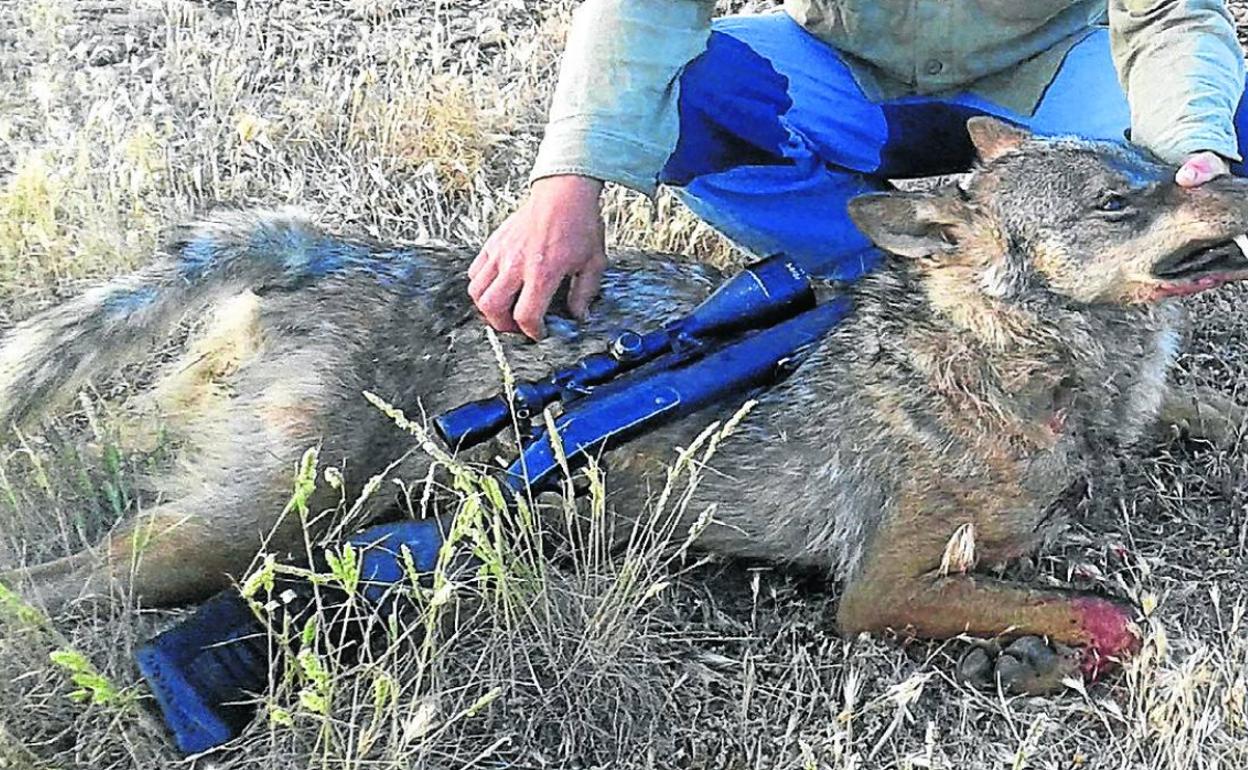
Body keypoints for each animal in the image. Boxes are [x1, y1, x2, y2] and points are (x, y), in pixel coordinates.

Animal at [2, 118, 1248, 688]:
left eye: (1152, 163)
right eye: (1119, 201)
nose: (1231, 172)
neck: (1021, 358)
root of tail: (325, 248)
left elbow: (1194, 416)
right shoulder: (880, 588)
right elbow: (1087, 607)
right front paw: (1083, 630)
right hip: (244, 532)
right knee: (63, 577)